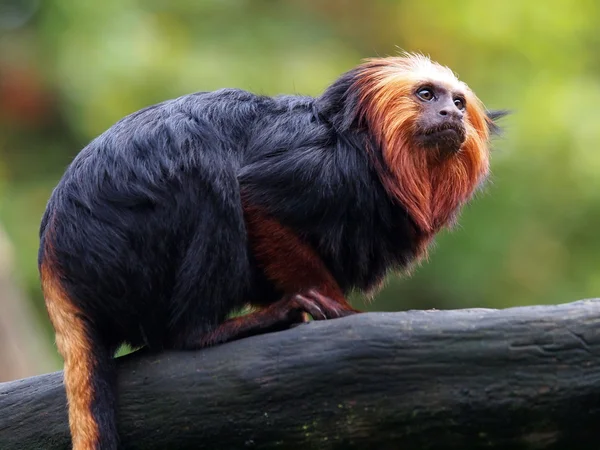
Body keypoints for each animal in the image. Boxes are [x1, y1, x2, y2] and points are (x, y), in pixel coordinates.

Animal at [37, 53, 506, 450]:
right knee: (207, 179)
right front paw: (334, 306)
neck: (369, 150)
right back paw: (218, 328)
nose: (451, 114)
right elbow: (252, 198)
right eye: (426, 95)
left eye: (459, 102)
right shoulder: (320, 164)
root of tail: (56, 270)